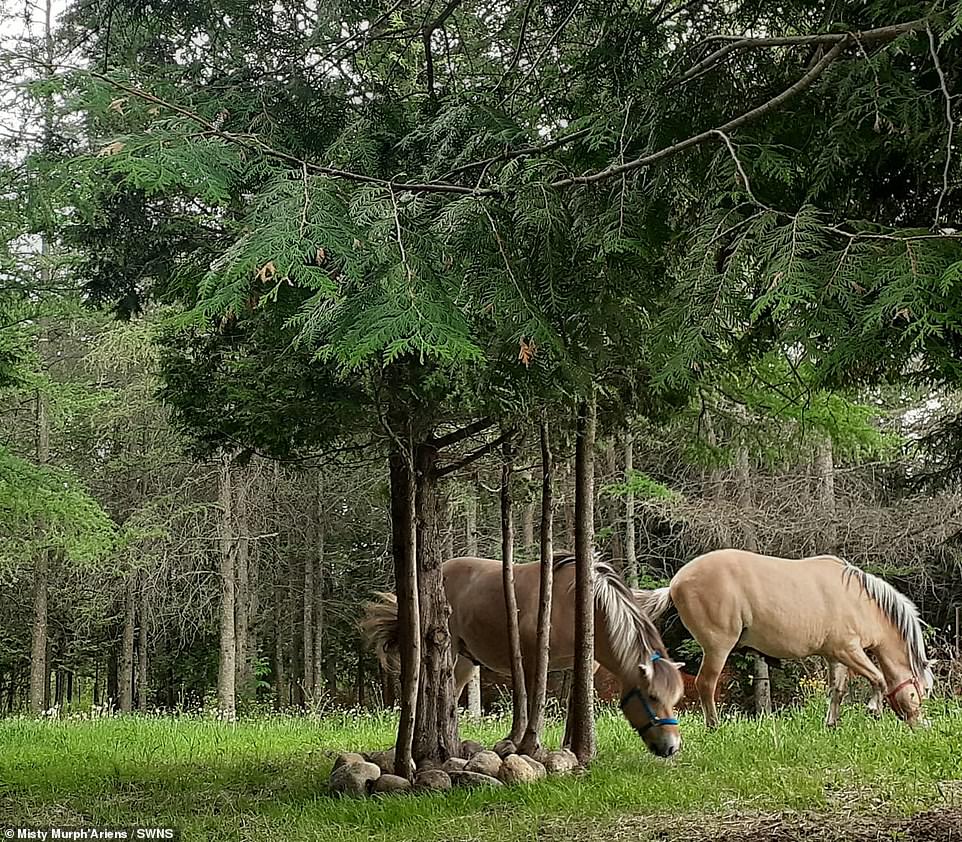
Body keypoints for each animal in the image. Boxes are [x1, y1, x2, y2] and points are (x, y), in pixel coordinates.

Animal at [360, 552, 684, 756]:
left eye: (674, 699)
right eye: (652, 697)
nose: (672, 747)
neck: (577, 601)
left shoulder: (582, 664)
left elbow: (574, 701)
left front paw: (569, 744)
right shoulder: (531, 660)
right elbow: (529, 702)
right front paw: (522, 744)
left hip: (465, 660)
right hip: (445, 650)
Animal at [640, 548, 932, 724]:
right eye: (921, 691)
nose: (921, 725)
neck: (859, 599)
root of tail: (676, 583)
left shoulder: (836, 655)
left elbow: (837, 690)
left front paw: (831, 724)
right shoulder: (849, 650)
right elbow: (879, 678)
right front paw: (874, 708)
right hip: (717, 648)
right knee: (705, 685)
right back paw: (714, 726)